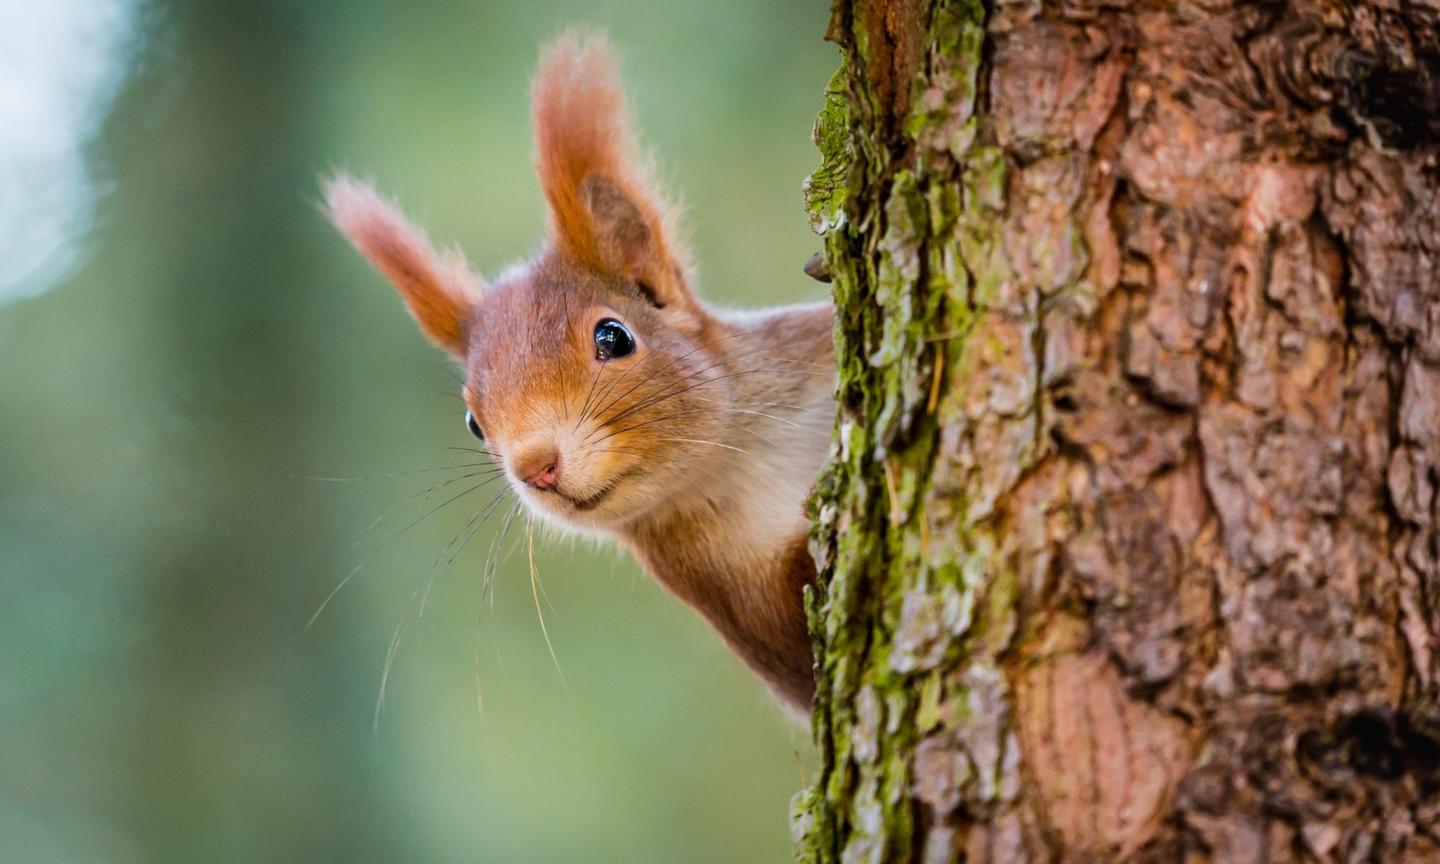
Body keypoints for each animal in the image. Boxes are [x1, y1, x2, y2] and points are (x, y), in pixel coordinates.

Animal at [319, 33, 829, 711]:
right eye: (473, 422)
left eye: (613, 337)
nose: (536, 466)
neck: (742, 460)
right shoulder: (736, 600)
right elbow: (802, 650)